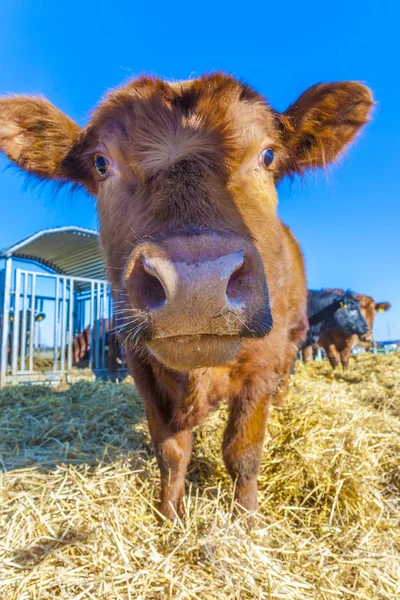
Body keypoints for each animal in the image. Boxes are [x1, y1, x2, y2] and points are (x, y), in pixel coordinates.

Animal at [0, 71, 372, 520]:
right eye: (102, 163)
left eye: (267, 155)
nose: (196, 282)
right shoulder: (142, 368)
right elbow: (171, 452)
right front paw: (170, 515)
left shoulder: (262, 365)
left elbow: (243, 452)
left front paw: (247, 519)